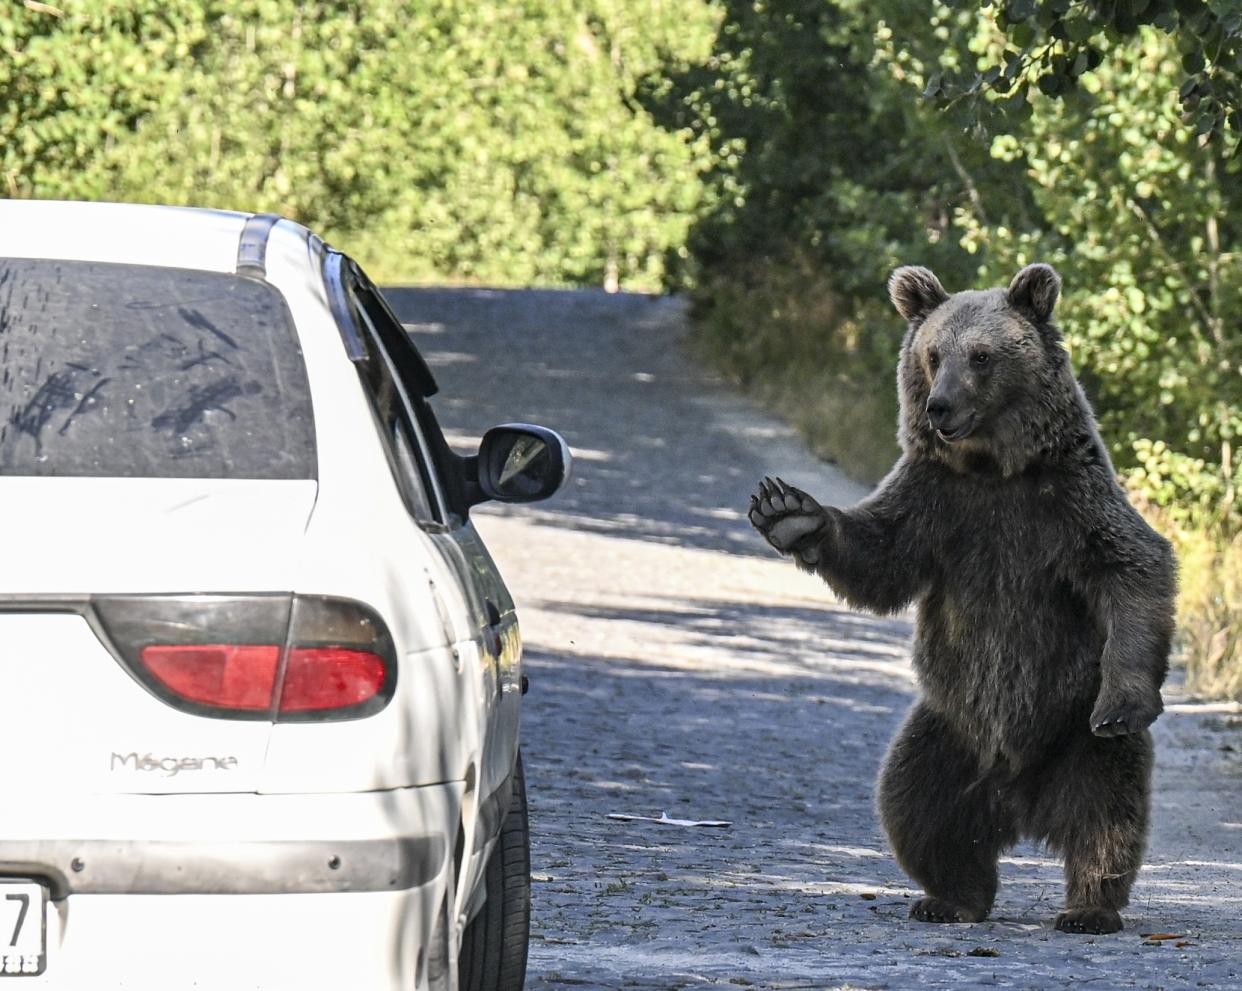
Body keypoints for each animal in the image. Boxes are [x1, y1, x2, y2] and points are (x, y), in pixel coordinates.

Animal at [745, 265, 1172, 938]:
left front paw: (1125, 700)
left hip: (1070, 730)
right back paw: (950, 897)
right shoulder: (938, 501)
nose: (938, 405)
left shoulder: (1069, 503)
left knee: (1106, 812)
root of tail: (1020, 798)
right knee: (916, 805)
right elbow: (879, 556)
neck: (994, 468)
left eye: (982, 355)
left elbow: (1132, 568)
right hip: (949, 731)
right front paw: (789, 512)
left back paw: (1088, 907)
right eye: (932, 354)